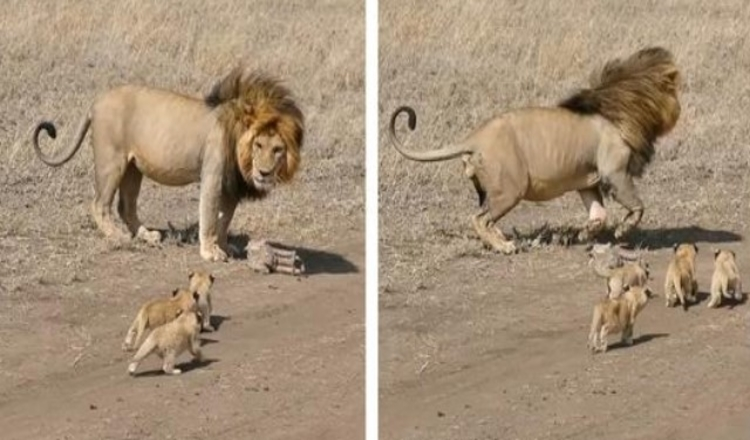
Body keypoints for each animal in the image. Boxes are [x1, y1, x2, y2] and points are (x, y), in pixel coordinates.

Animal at [32, 67, 302, 262]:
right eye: (258, 145)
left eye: (278, 149)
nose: (264, 173)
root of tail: (96, 102)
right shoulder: (213, 175)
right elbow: (209, 216)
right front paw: (210, 252)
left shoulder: (231, 185)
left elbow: (224, 219)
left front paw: (224, 246)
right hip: (112, 161)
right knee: (100, 204)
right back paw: (119, 237)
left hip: (133, 168)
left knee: (126, 207)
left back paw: (147, 236)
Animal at [390, 46, 684, 253]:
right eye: (675, 91)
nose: (680, 109)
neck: (622, 106)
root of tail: (474, 138)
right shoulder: (615, 172)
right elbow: (638, 206)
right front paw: (623, 231)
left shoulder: (588, 180)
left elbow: (598, 215)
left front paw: (583, 235)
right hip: (511, 188)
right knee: (479, 219)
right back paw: (504, 247)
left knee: (486, 219)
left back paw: (503, 239)